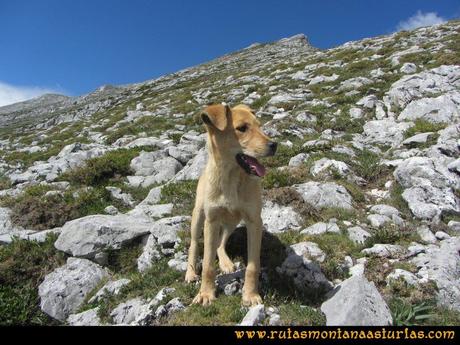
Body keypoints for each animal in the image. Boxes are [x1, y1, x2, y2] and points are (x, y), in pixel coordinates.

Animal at [184, 103, 276, 306]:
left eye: (259, 126)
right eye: (242, 128)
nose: (274, 145)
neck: (232, 178)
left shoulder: (254, 221)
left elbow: (252, 266)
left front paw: (250, 294)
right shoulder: (211, 220)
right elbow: (208, 264)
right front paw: (206, 293)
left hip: (232, 221)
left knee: (220, 242)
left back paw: (226, 263)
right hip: (199, 216)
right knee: (194, 244)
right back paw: (190, 272)